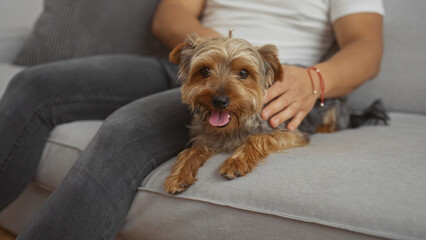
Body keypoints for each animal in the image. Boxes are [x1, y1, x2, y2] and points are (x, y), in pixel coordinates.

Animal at [162, 31, 386, 194]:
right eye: (204, 71)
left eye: (243, 73)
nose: (219, 101)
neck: (236, 125)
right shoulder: (206, 137)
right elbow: (190, 152)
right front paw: (179, 175)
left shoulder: (290, 132)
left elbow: (256, 138)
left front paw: (235, 161)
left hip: (334, 106)